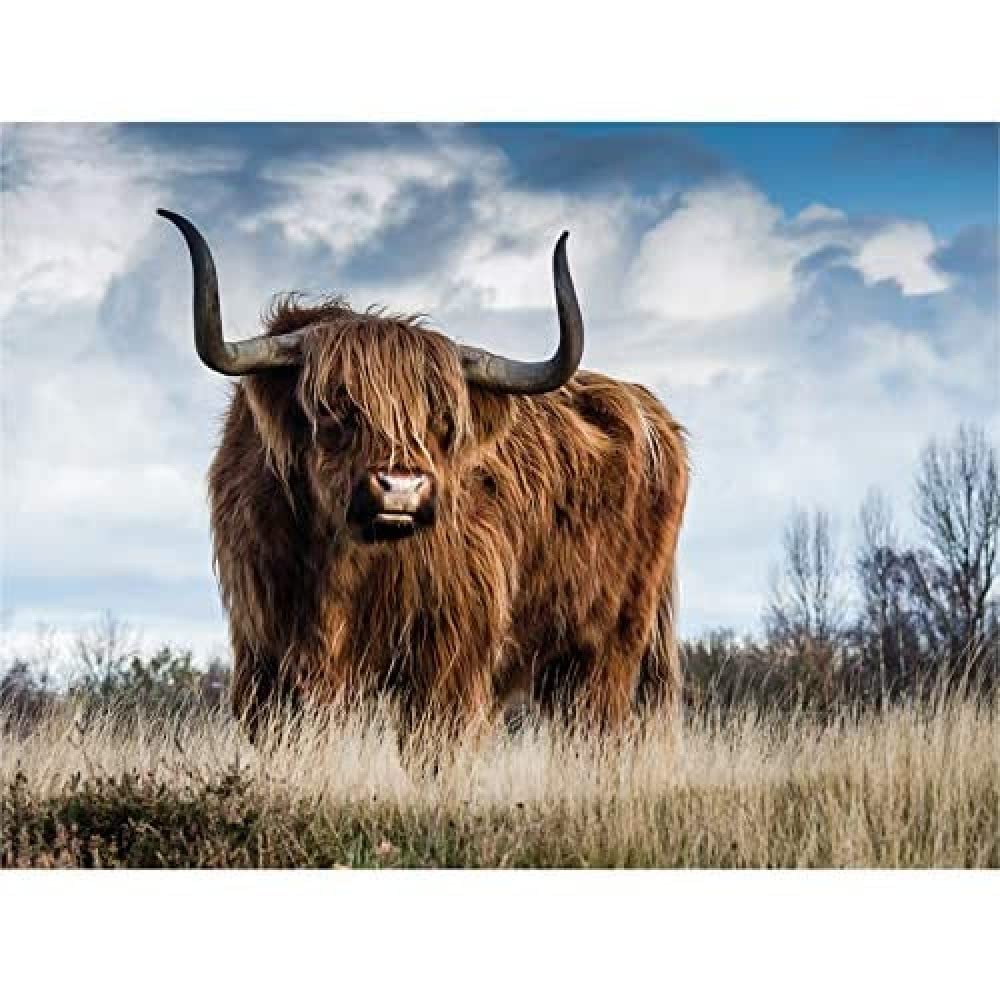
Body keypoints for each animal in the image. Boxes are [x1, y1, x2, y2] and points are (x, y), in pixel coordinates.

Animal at [158, 209, 688, 743]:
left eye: (442, 419)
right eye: (335, 409)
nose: (401, 488)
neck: (341, 565)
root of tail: (649, 409)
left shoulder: (449, 656)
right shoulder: (264, 654)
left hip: (609, 647)